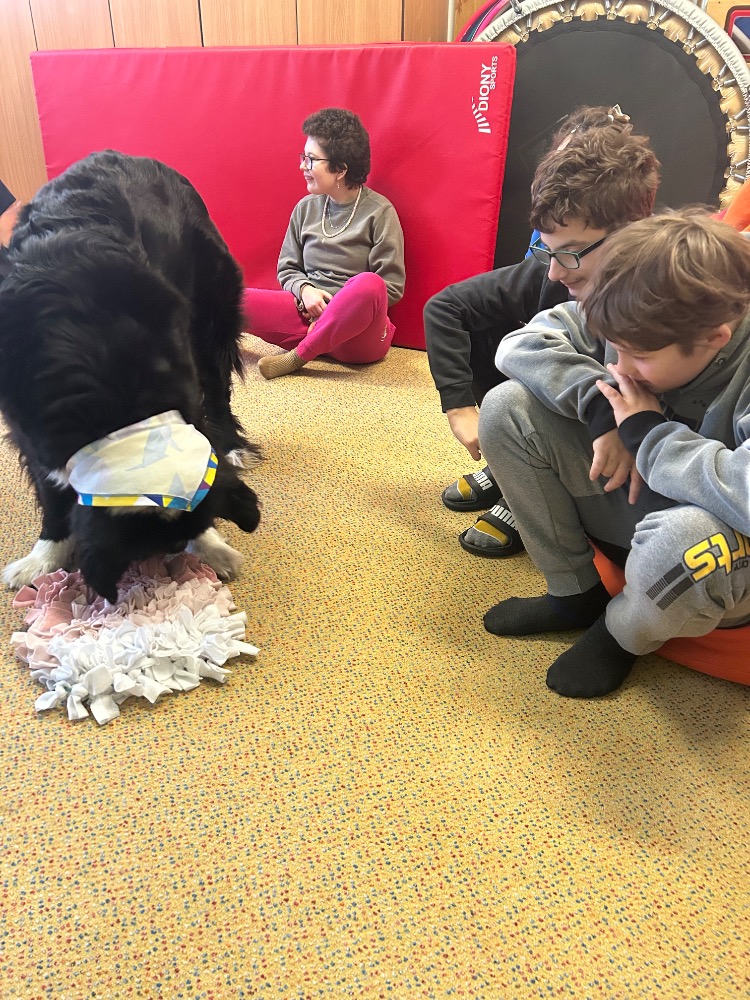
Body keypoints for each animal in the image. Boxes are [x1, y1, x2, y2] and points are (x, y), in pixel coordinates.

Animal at [0, 150, 261, 602]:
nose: (171, 562)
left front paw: (213, 545)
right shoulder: (28, 426)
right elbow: (50, 493)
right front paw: (45, 555)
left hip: (212, 313)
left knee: (219, 389)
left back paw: (231, 445)